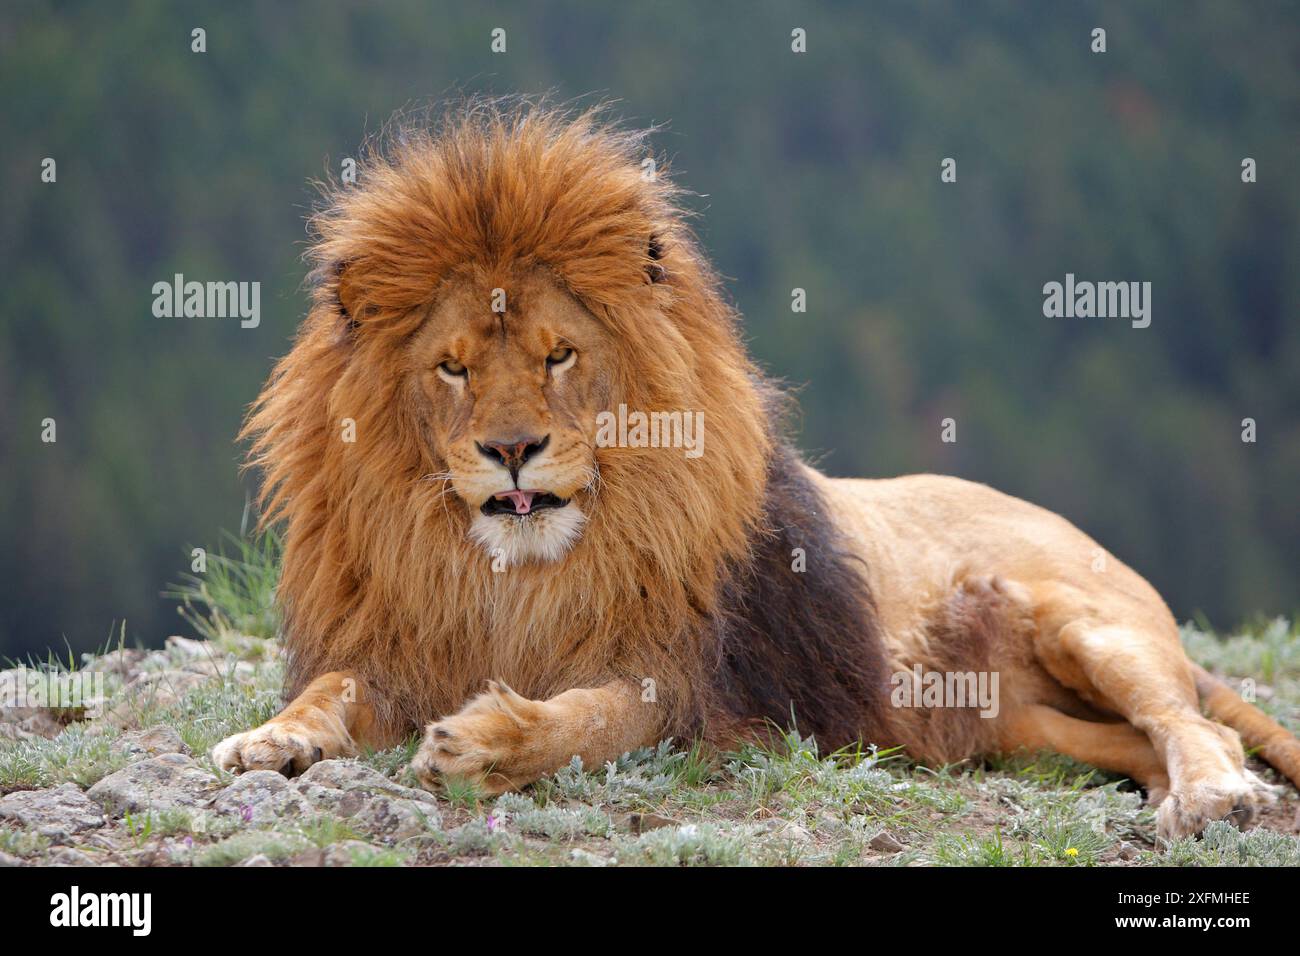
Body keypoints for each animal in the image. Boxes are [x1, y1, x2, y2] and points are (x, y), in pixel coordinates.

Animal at [212, 100, 1300, 841]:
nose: (512, 448)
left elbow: (591, 721)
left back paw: (1211, 796)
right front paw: (271, 737)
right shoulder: (403, 645)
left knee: (1190, 722)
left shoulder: (687, 680)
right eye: (453, 368)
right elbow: (331, 690)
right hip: (1019, 724)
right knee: (1142, 739)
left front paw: (484, 742)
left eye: (559, 354)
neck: (514, 575)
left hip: (1086, 623)